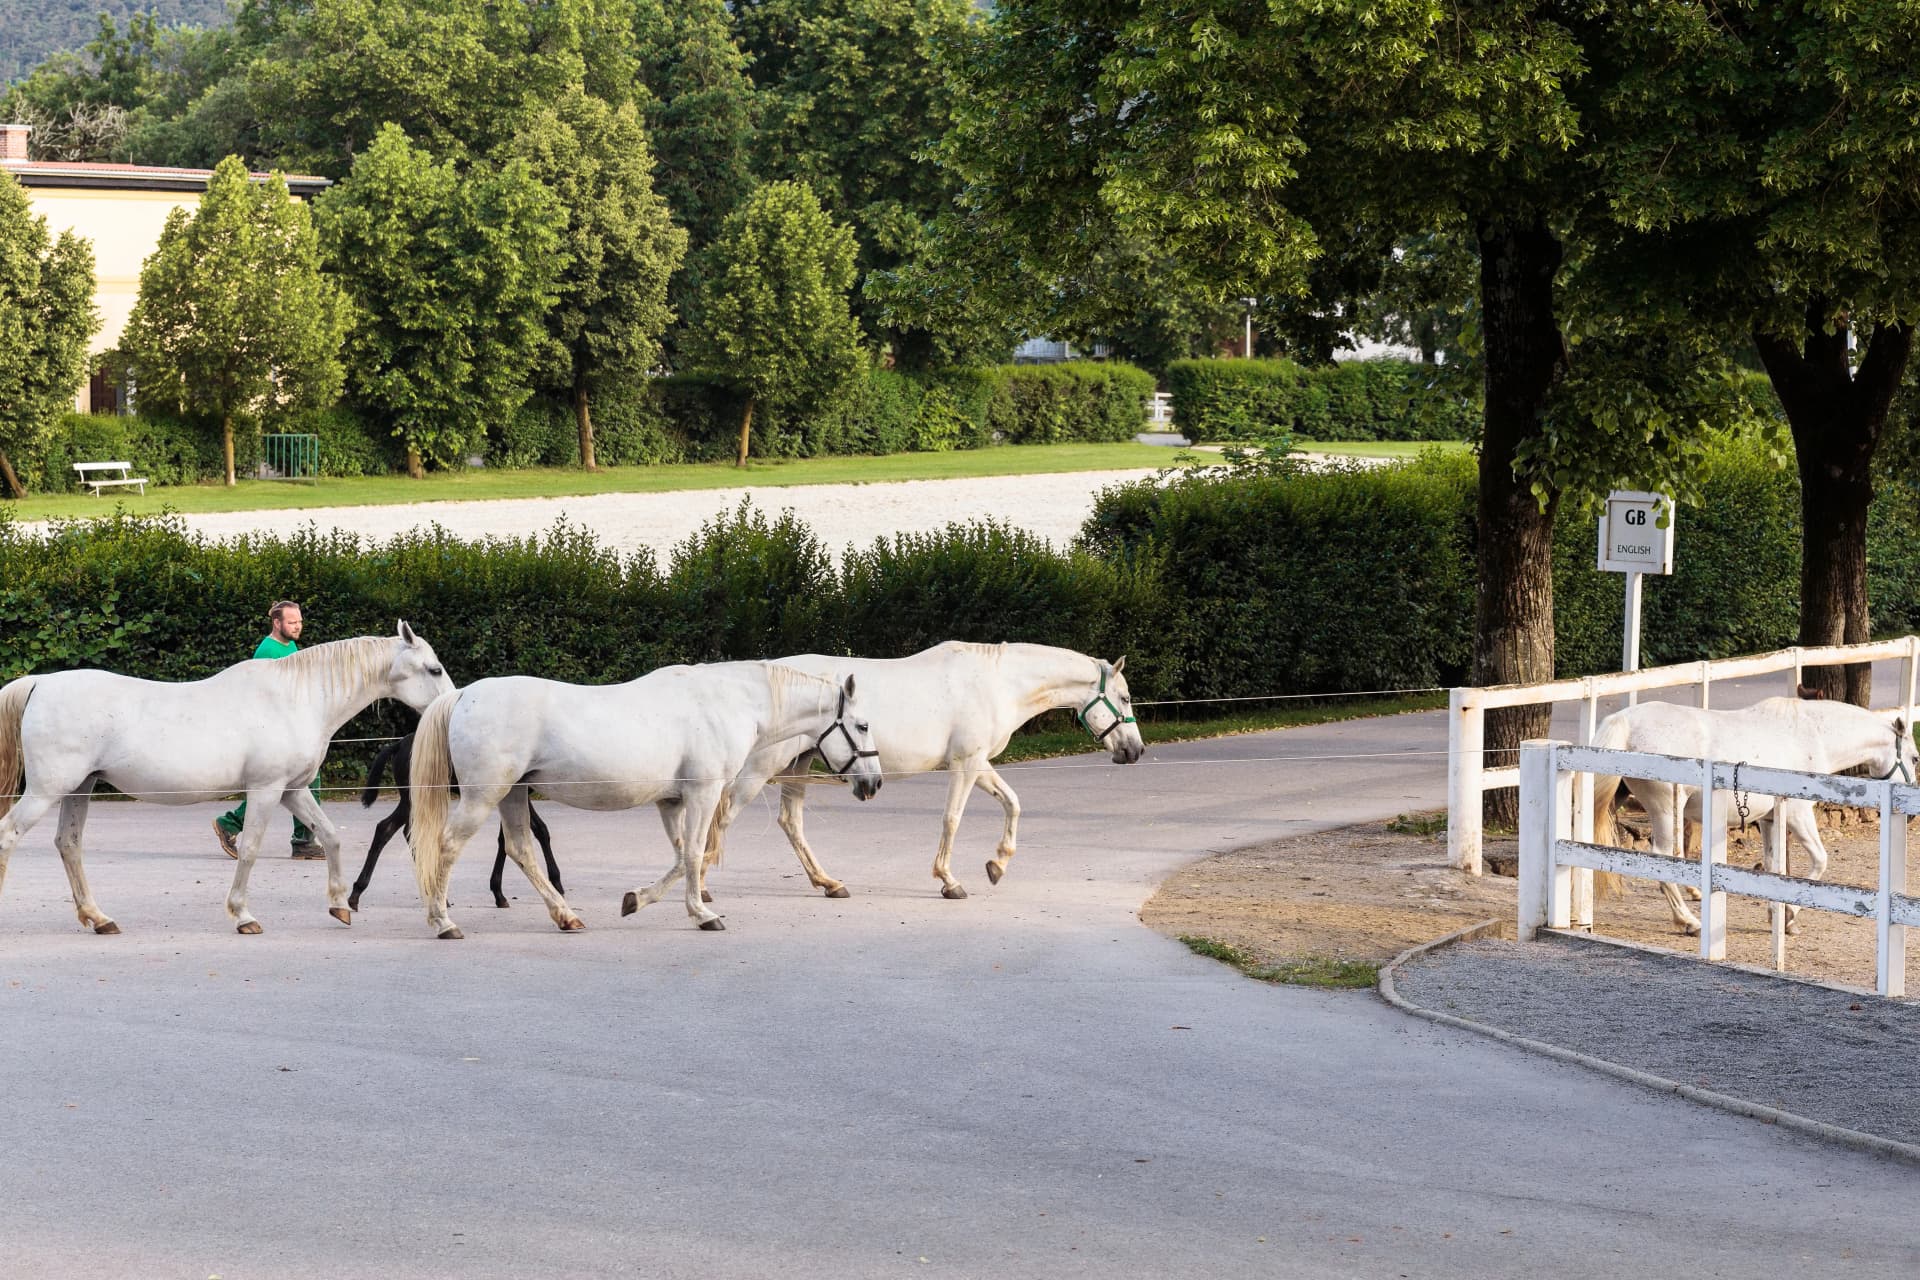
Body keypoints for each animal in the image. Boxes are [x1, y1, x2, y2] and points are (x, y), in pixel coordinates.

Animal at [0, 623, 454, 935]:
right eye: (433, 668)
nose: (451, 706)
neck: (296, 699)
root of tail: (39, 683)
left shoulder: (292, 791)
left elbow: (330, 836)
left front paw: (340, 904)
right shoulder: (267, 790)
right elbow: (250, 848)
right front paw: (243, 915)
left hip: (79, 789)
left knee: (69, 845)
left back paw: (98, 918)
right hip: (46, 792)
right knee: (9, 834)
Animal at [347, 732, 564, 912]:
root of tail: (399, 743)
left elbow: (506, 839)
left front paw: (498, 894)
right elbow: (539, 830)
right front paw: (557, 885)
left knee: (396, 829)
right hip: (412, 798)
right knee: (388, 828)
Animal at [404, 662, 884, 938]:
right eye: (861, 725)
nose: (875, 783)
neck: (726, 702)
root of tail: (463, 695)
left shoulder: (672, 802)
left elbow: (681, 856)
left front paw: (637, 899)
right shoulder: (703, 793)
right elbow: (695, 853)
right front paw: (702, 915)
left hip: (514, 795)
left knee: (522, 850)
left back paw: (566, 917)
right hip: (484, 797)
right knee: (447, 846)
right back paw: (443, 922)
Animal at [699, 642, 1146, 902]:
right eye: (1125, 697)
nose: (1136, 750)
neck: (997, 684)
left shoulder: (979, 763)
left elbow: (1013, 804)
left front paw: (997, 865)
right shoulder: (965, 765)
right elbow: (952, 819)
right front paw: (950, 881)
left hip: (798, 765)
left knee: (790, 822)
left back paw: (830, 884)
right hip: (762, 769)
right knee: (723, 818)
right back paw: (701, 888)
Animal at [1590, 696, 1916, 934]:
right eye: (1915, 758)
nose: (1911, 816)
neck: (1810, 736)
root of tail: (1624, 721)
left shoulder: (1770, 820)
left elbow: (1774, 867)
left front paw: (1778, 916)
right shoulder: (1798, 815)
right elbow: (1820, 861)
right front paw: (1789, 914)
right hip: (1666, 811)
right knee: (1662, 859)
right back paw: (1689, 921)